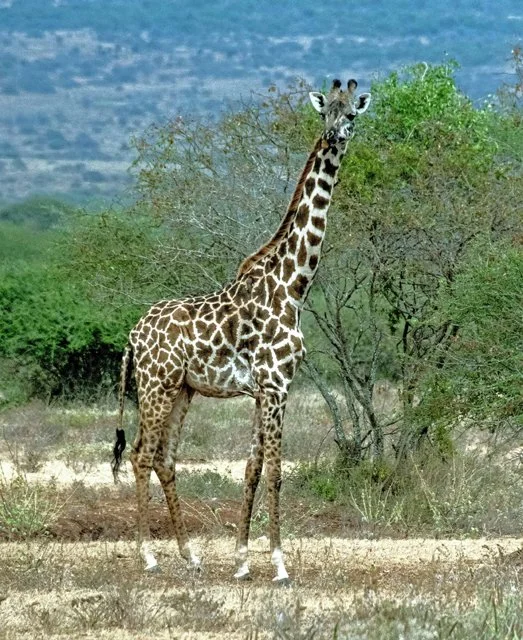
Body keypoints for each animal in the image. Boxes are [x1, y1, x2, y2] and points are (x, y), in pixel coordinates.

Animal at [112, 78, 371, 582]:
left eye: (351, 113)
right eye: (324, 112)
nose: (334, 137)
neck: (293, 286)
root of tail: (133, 335)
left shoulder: (265, 389)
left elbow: (252, 467)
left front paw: (242, 561)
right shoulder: (276, 385)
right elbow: (275, 470)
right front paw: (280, 564)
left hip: (182, 390)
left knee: (164, 458)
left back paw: (190, 556)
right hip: (155, 386)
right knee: (140, 454)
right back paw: (149, 558)